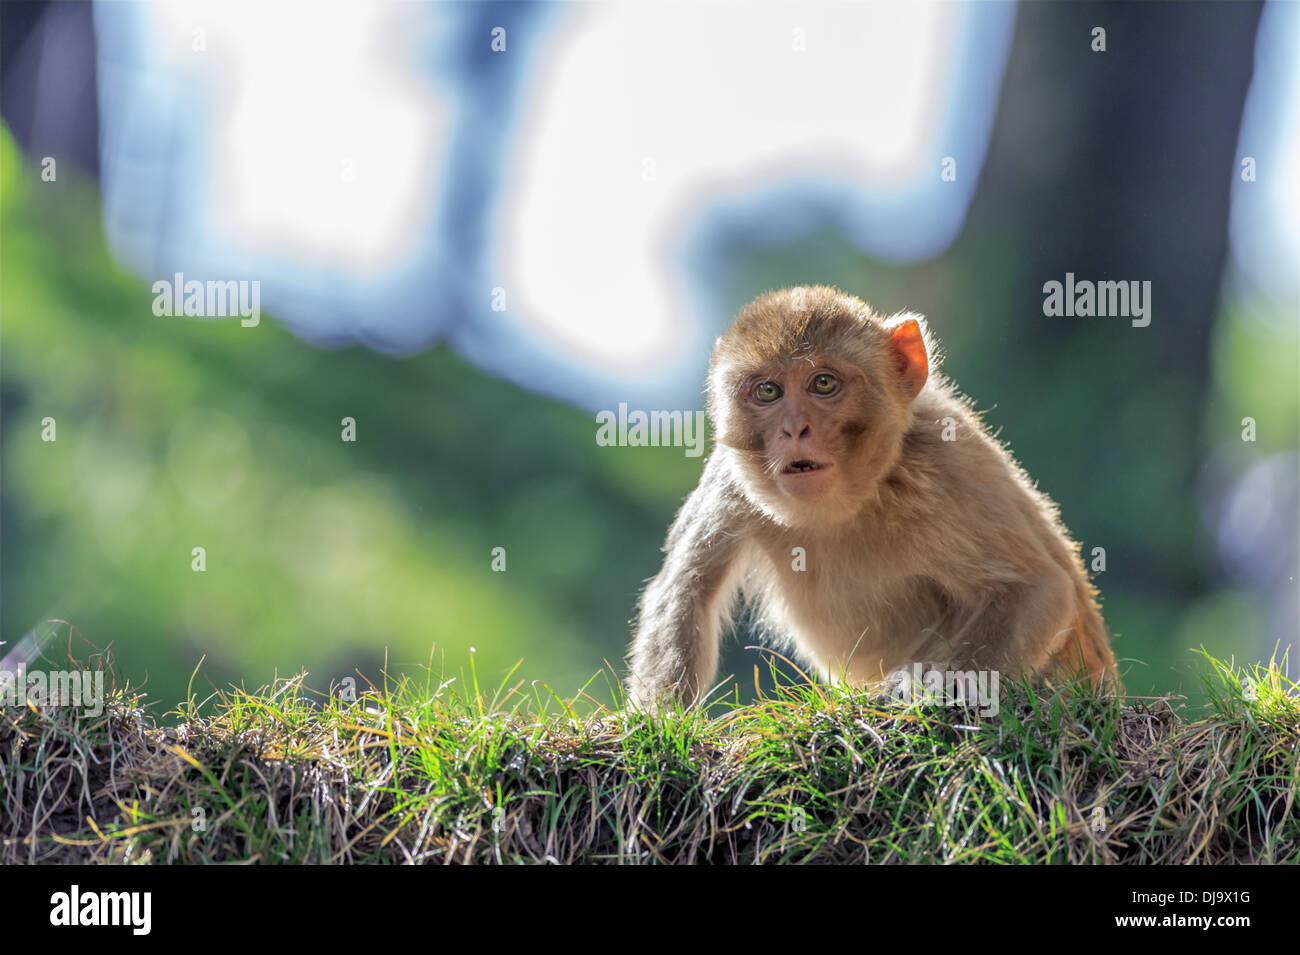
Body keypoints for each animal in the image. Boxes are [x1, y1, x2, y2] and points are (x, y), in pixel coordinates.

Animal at [626, 283, 1118, 712]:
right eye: (768, 392)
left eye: (823, 384)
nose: (795, 429)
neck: (844, 505)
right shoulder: (731, 480)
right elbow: (688, 589)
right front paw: (658, 722)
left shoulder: (947, 465)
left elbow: (1039, 589)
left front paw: (940, 683)